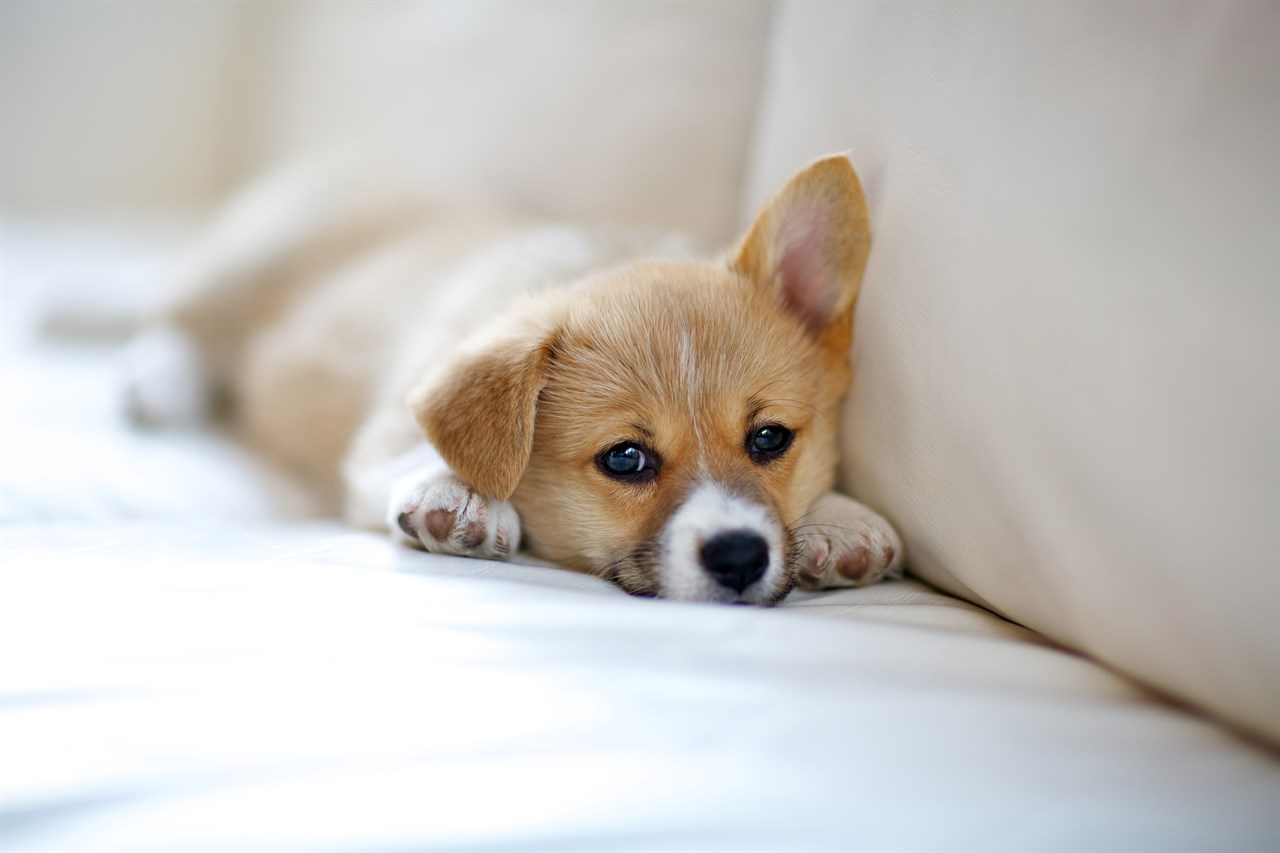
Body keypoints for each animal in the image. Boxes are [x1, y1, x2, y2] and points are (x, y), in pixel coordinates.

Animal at [127, 154, 901, 604]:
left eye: (770, 438)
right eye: (626, 458)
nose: (741, 556)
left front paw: (843, 521)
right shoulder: (390, 426)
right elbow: (420, 452)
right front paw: (456, 495)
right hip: (250, 264)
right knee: (187, 324)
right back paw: (154, 385)